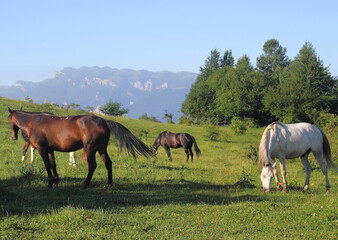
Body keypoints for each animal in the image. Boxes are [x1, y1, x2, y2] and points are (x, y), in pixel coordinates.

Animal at [7, 109, 153, 189]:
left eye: (9, 120)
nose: (13, 137)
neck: (34, 123)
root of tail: (104, 121)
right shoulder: (50, 150)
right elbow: (53, 165)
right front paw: (56, 182)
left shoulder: (42, 150)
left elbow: (47, 165)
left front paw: (50, 183)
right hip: (101, 149)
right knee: (108, 164)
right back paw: (109, 185)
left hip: (90, 149)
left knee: (92, 166)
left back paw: (85, 184)